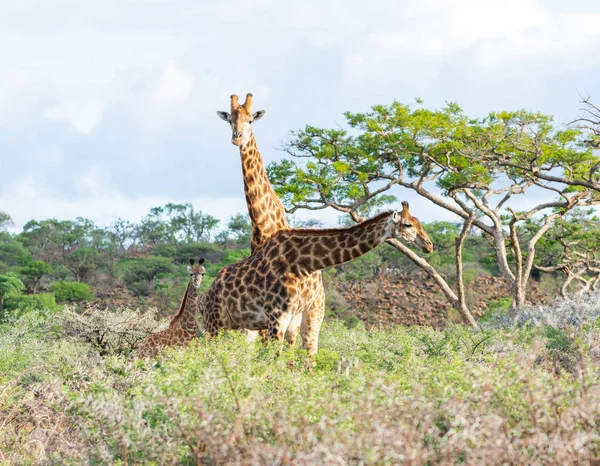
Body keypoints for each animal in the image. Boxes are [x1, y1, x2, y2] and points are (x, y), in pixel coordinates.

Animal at [200, 202, 432, 348]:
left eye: (419, 222)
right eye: (408, 224)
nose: (429, 245)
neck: (303, 263)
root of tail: (206, 295)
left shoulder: (293, 319)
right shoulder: (277, 317)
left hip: (241, 327)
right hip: (214, 324)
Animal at [218, 93, 326, 354]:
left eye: (250, 120)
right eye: (230, 121)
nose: (237, 138)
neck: (262, 224)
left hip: (313, 312)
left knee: (308, 348)